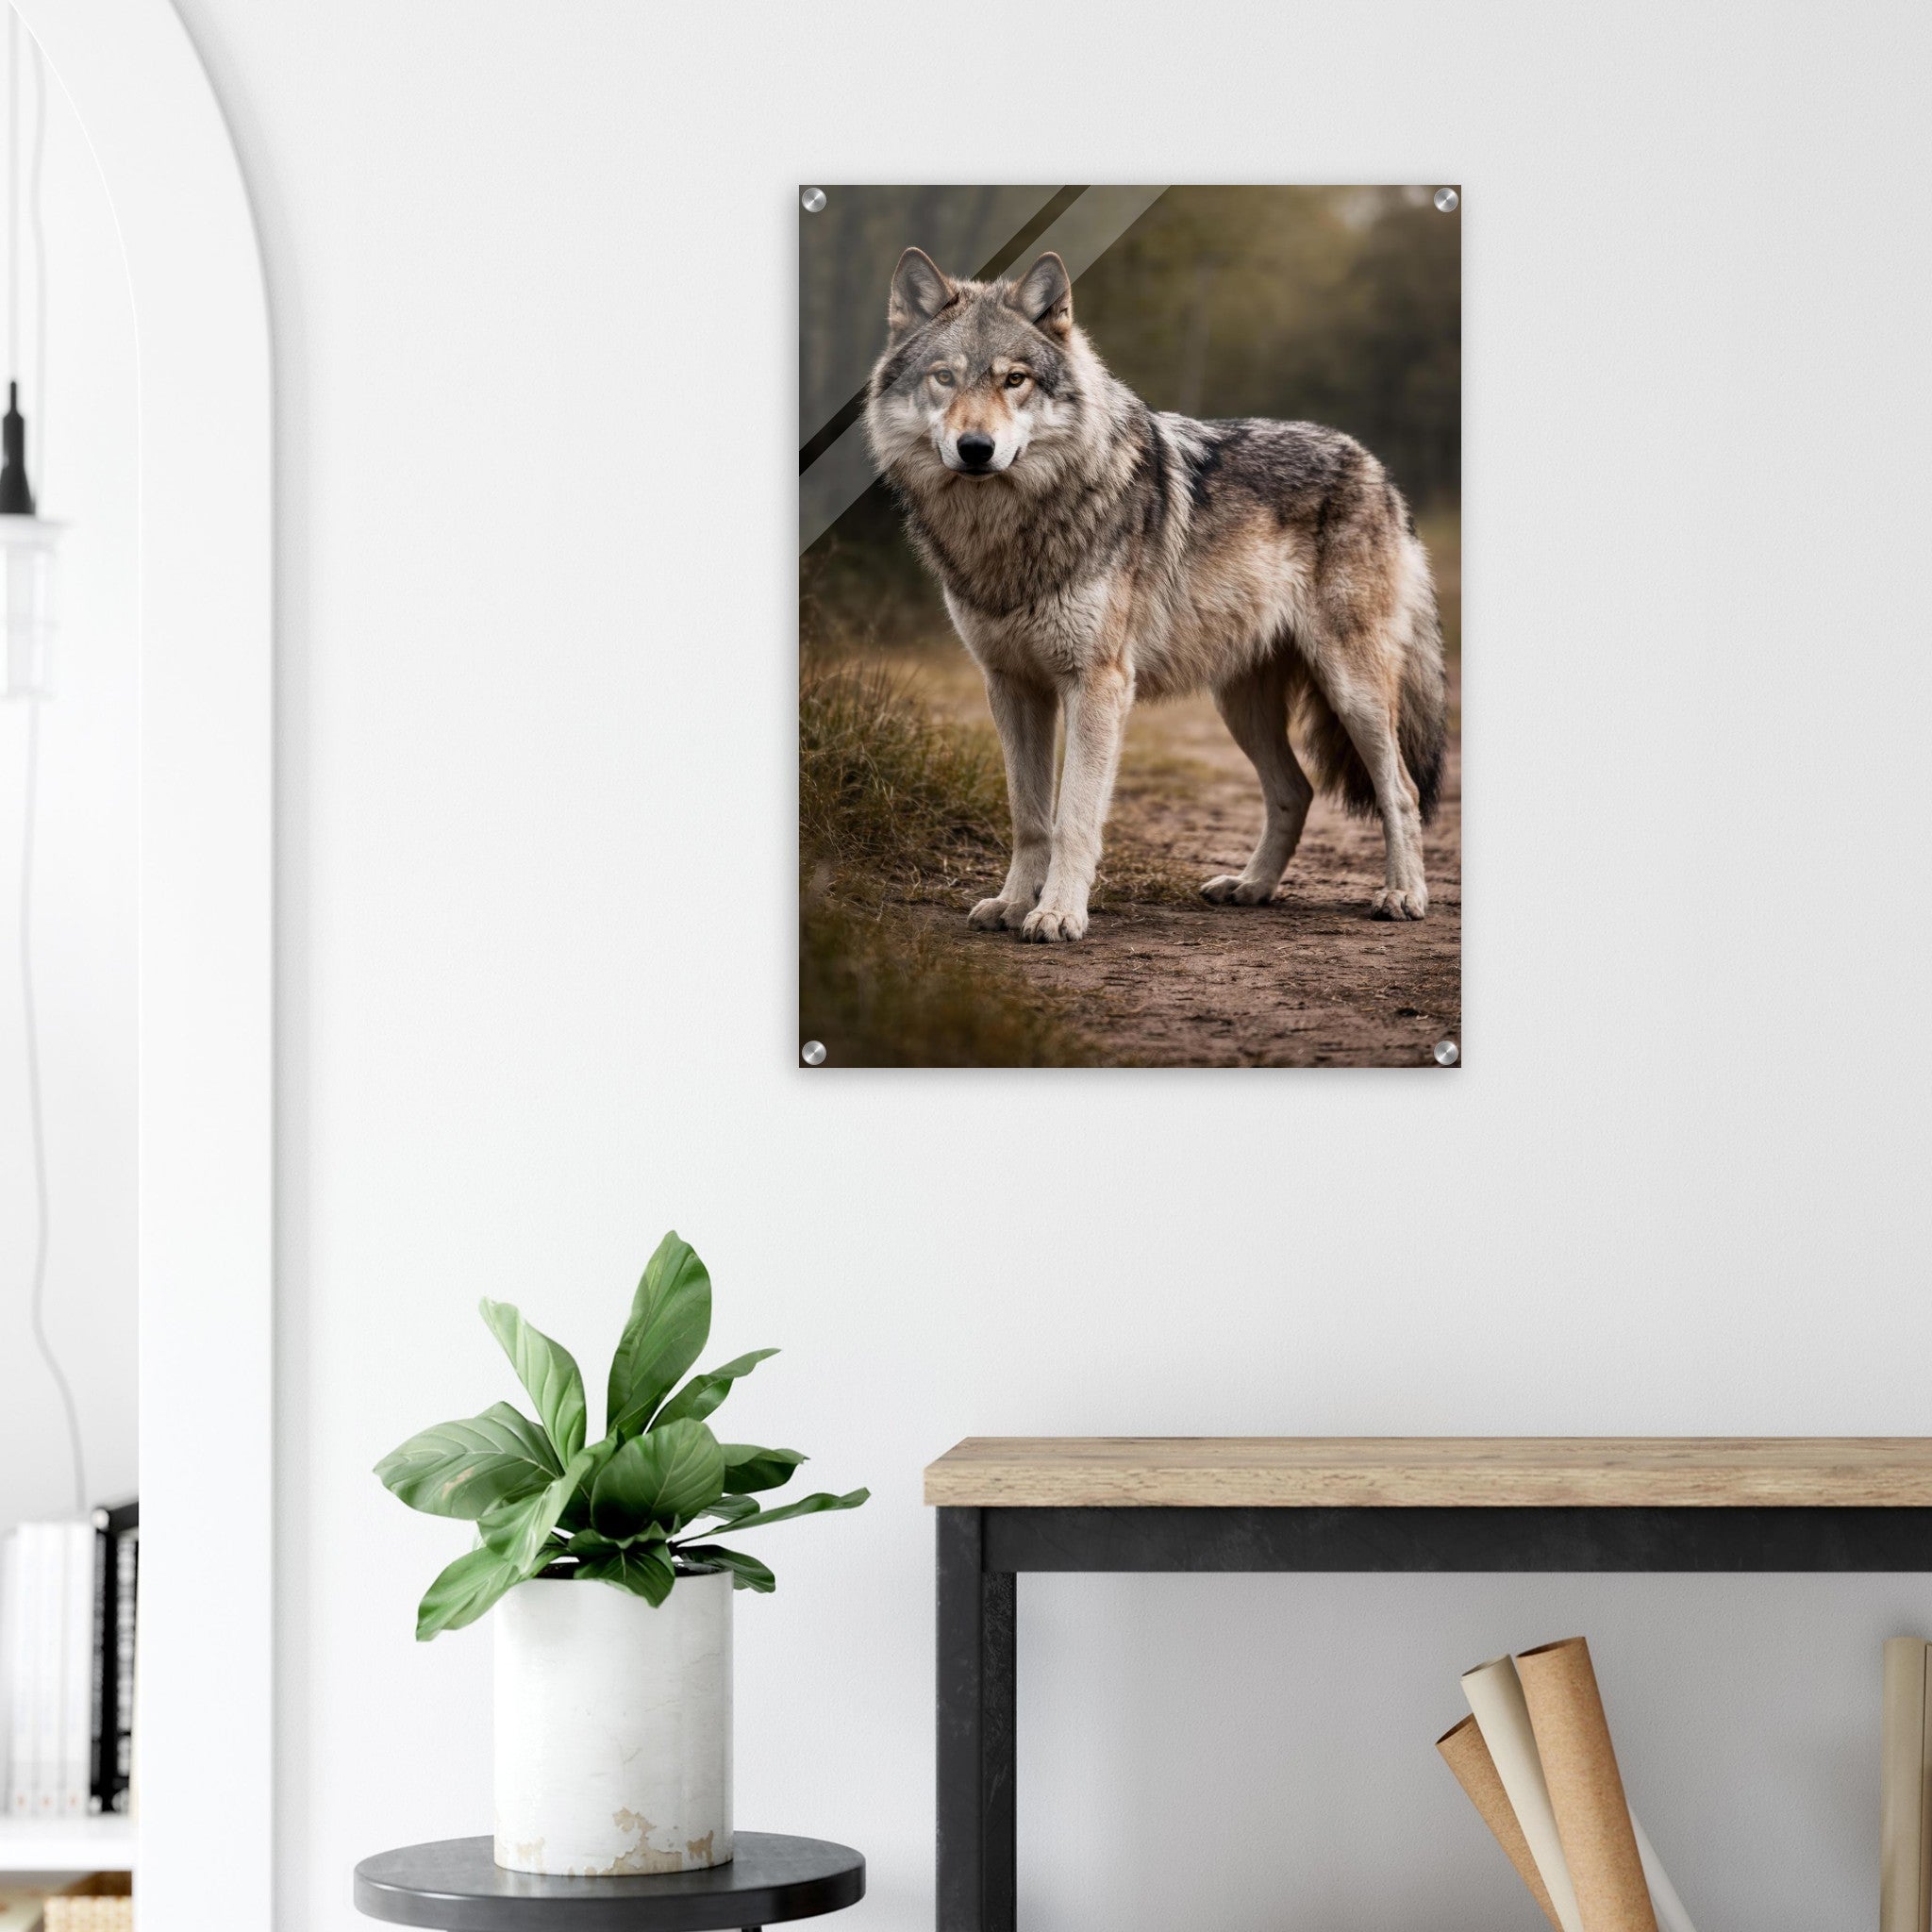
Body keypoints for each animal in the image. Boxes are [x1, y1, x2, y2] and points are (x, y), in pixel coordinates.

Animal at [863, 246, 1447, 943]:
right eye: (945, 378)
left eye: (1014, 380)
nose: (976, 449)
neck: (1009, 528)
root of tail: (1374, 467)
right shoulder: (1010, 685)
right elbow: (1028, 816)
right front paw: (1011, 904)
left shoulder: (1098, 684)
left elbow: (1073, 817)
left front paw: (1057, 913)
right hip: (1241, 705)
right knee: (1295, 791)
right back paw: (1251, 887)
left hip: (1352, 690)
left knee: (1401, 791)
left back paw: (1403, 895)